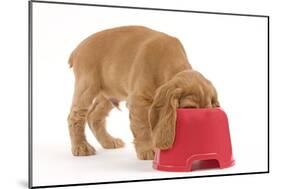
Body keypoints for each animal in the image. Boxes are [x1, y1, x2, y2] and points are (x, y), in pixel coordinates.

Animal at [67, 25, 219, 159]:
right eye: (189, 108)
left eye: (208, 110)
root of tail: (77, 49)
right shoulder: (138, 100)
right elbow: (143, 126)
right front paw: (148, 150)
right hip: (87, 86)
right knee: (75, 116)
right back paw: (81, 146)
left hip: (109, 94)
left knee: (94, 115)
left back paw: (108, 141)